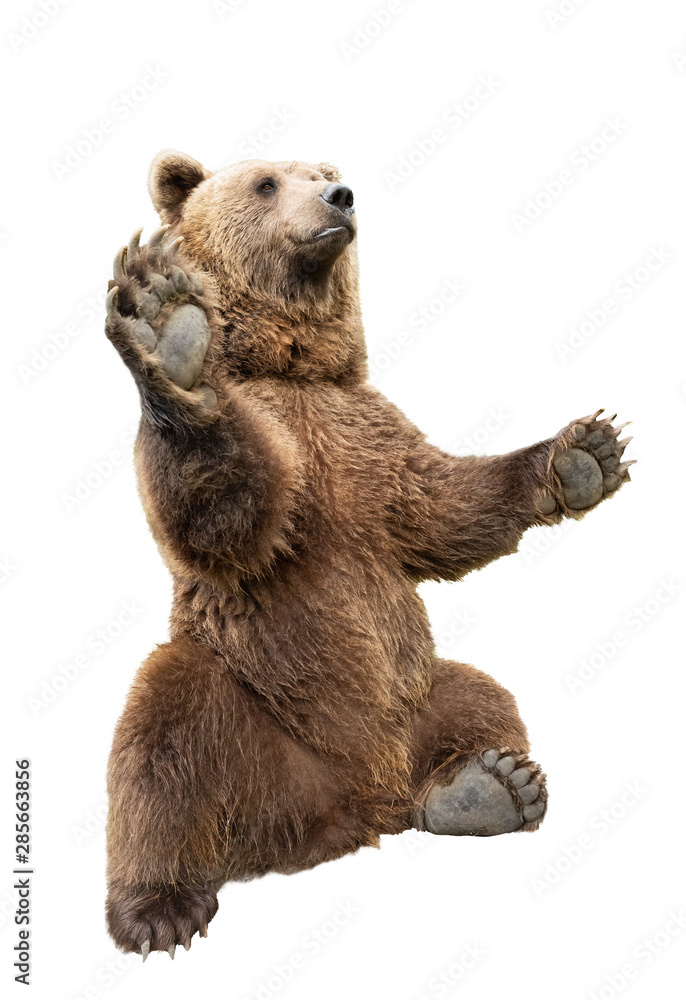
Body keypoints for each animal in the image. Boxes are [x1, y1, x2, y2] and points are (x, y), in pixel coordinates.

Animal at [103, 150, 633, 959]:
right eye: (266, 181)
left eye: (323, 168)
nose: (340, 195)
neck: (292, 366)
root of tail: (353, 808)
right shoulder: (275, 445)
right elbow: (225, 516)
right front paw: (169, 325)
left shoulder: (370, 435)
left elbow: (440, 509)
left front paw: (582, 455)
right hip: (248, 716)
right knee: (162, 733)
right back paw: (159, 908)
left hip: (416, 701)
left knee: (482, 696)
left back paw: (486, 788)